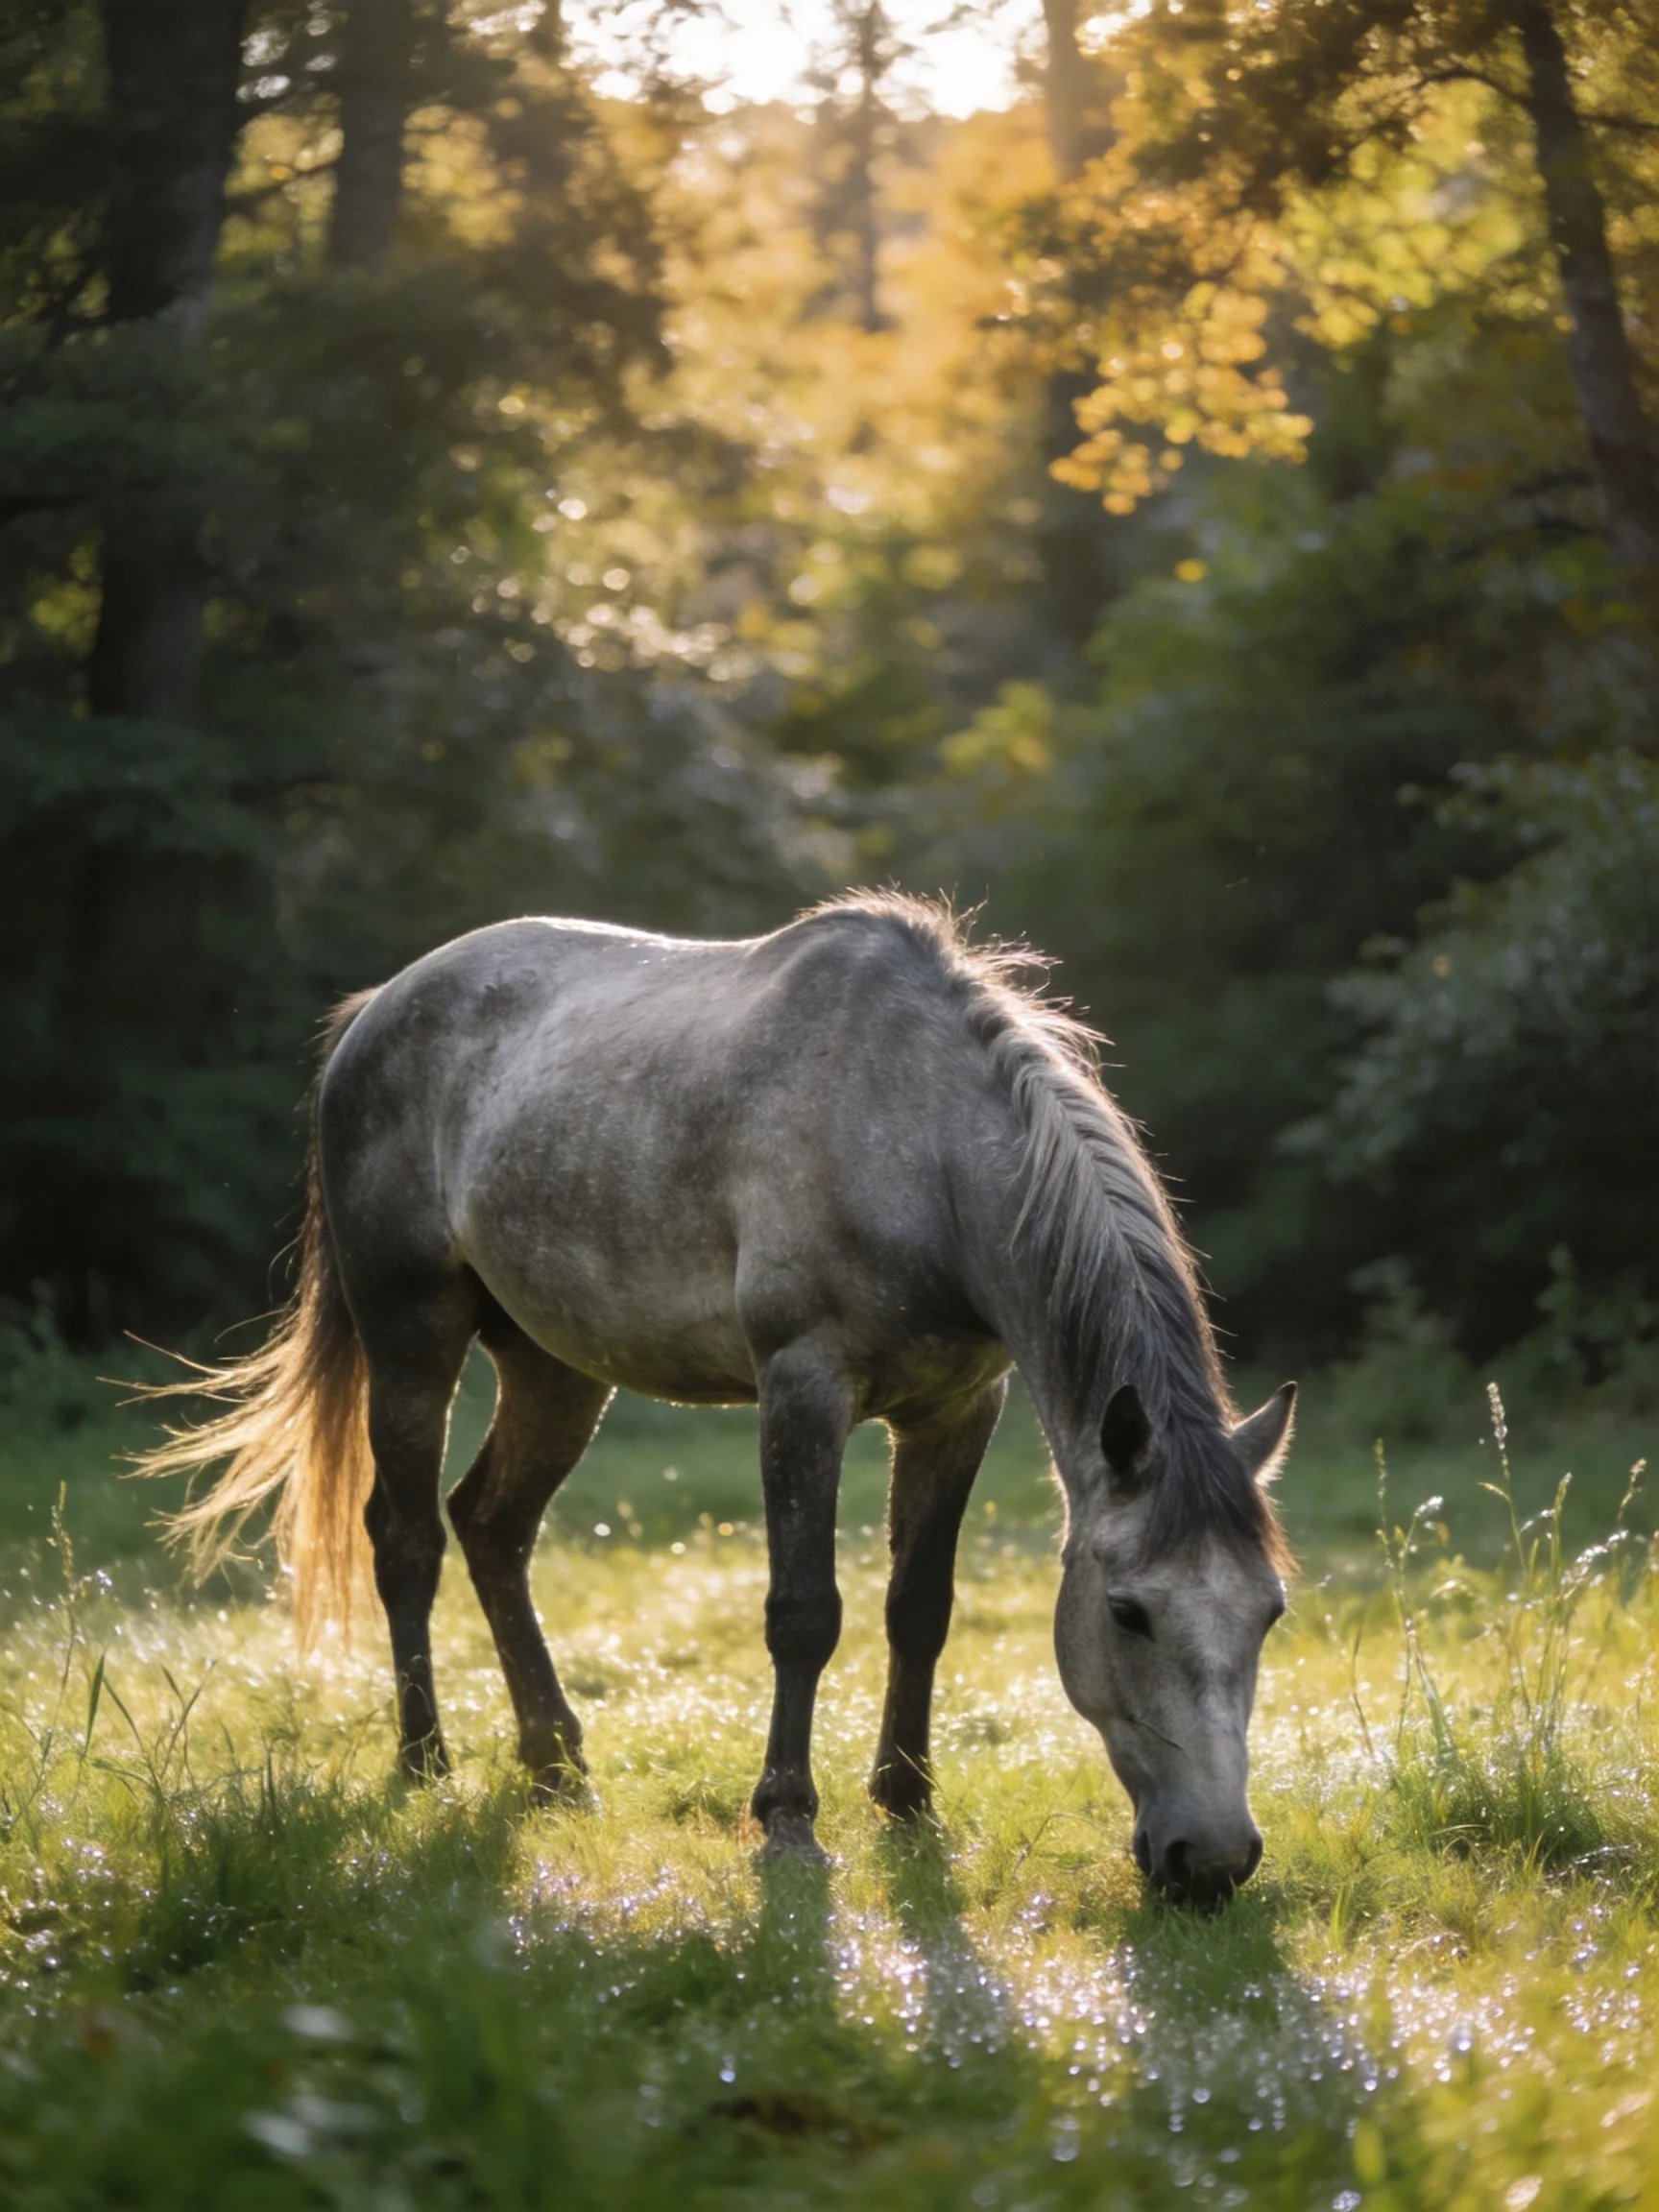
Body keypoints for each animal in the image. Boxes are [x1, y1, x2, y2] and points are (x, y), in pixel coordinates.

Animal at [144, 894, 1295, 1905]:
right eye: (1127, 1612)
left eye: (1271, 1612)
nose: (1213, 1862)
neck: (920, 1147)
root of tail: (375, 1012)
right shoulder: (803, 1387)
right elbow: (804, 1613)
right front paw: (787, 1817)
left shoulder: (958, 1409)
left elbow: (918, 1608)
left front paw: (908, 1803)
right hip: (412, 1338)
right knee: (407, 1539)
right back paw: (426, 1761)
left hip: (557, 1367)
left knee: (493, 1527)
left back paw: (555, 1765)